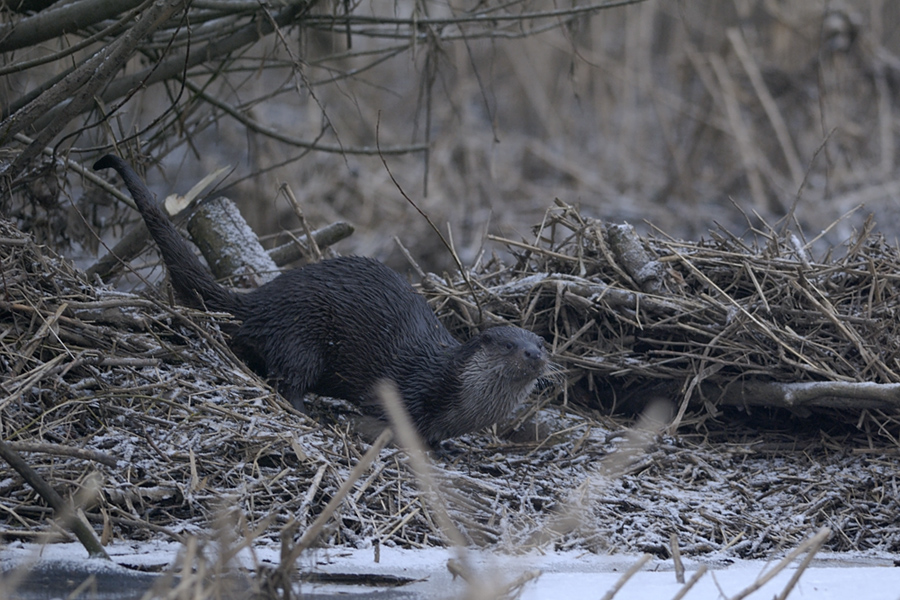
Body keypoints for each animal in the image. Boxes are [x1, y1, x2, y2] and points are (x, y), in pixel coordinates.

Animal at [93, 155, 548, 446]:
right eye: (509, 344)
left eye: (540, 343)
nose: (534, 355)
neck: (452, 390)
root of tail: (261, 302)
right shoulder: (406, 390)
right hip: (301, 337)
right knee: (288, 381)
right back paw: (309, 412)